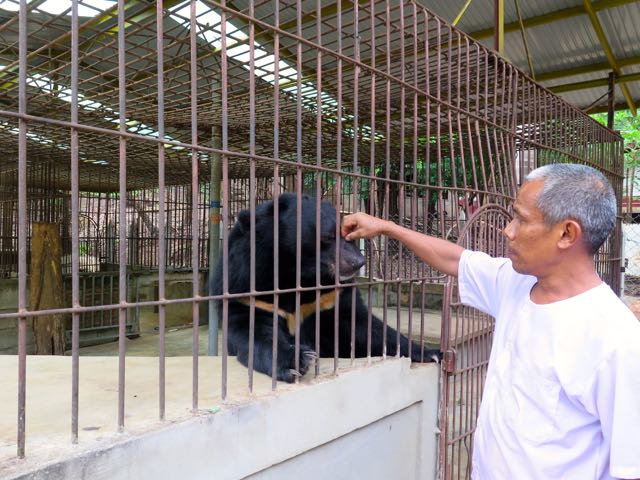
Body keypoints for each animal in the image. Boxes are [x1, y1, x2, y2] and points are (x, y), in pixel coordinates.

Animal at [212, 192, 442, 382]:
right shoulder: (246, 285)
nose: (359, 262)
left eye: (347, 234)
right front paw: (297, 360)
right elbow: (252, 330)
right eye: (327, 237)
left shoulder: (330, 296)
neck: (298, 274)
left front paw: (430, 353)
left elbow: (363, 326)